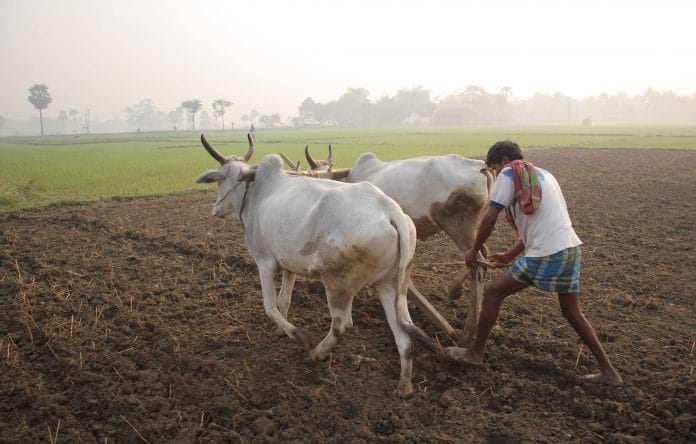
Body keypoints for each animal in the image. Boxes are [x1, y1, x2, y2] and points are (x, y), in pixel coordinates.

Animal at [195, 134, 441, 396]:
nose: (215, 209)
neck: (256, 193)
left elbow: (270, 307)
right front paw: (281, 331)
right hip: (390, 283)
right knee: (405, 337)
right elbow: (284, 301)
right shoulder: (288, 265)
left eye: (219, 180)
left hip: (336, 283)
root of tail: (391, 210)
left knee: (340, 326)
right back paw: (403, 387)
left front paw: (298, 335)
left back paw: (315, 353)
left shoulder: (265, 262)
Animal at [299, 146, 496, 347]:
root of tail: (478, 166)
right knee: (484, 255)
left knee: (477, 265)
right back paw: (455, 293)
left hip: (459, 227)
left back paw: (467, 334)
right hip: (473, 230)